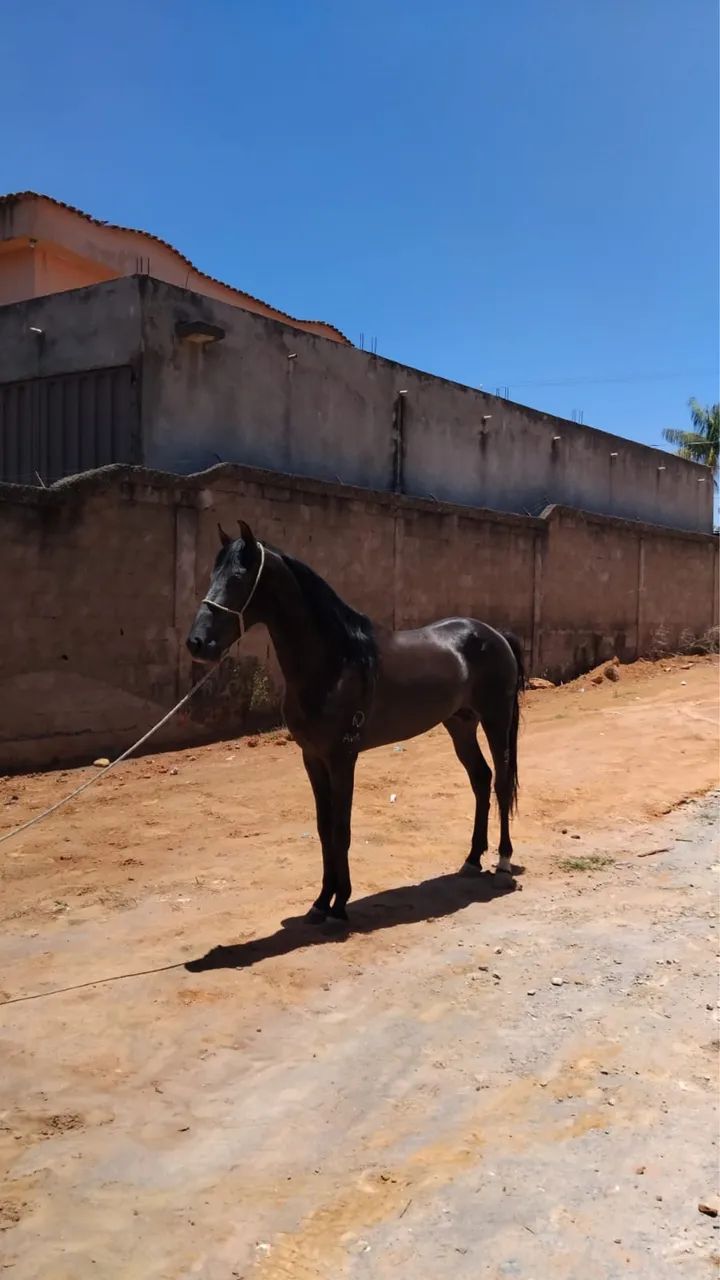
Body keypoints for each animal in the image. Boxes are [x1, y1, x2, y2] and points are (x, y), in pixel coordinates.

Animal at [187, 521, 525, 926]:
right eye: (212, 575)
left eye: (238, 577)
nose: (197, 643)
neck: (336, 660)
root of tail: (496, 635)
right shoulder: (313, 758)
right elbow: (323, 828)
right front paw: (320, 902)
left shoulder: (343, 758)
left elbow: (341, 828)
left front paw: (340, 904)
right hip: (460, 724)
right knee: (480, 779)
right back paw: (472, 859)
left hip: (495, 719)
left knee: (501, 783)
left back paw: (502, 862)